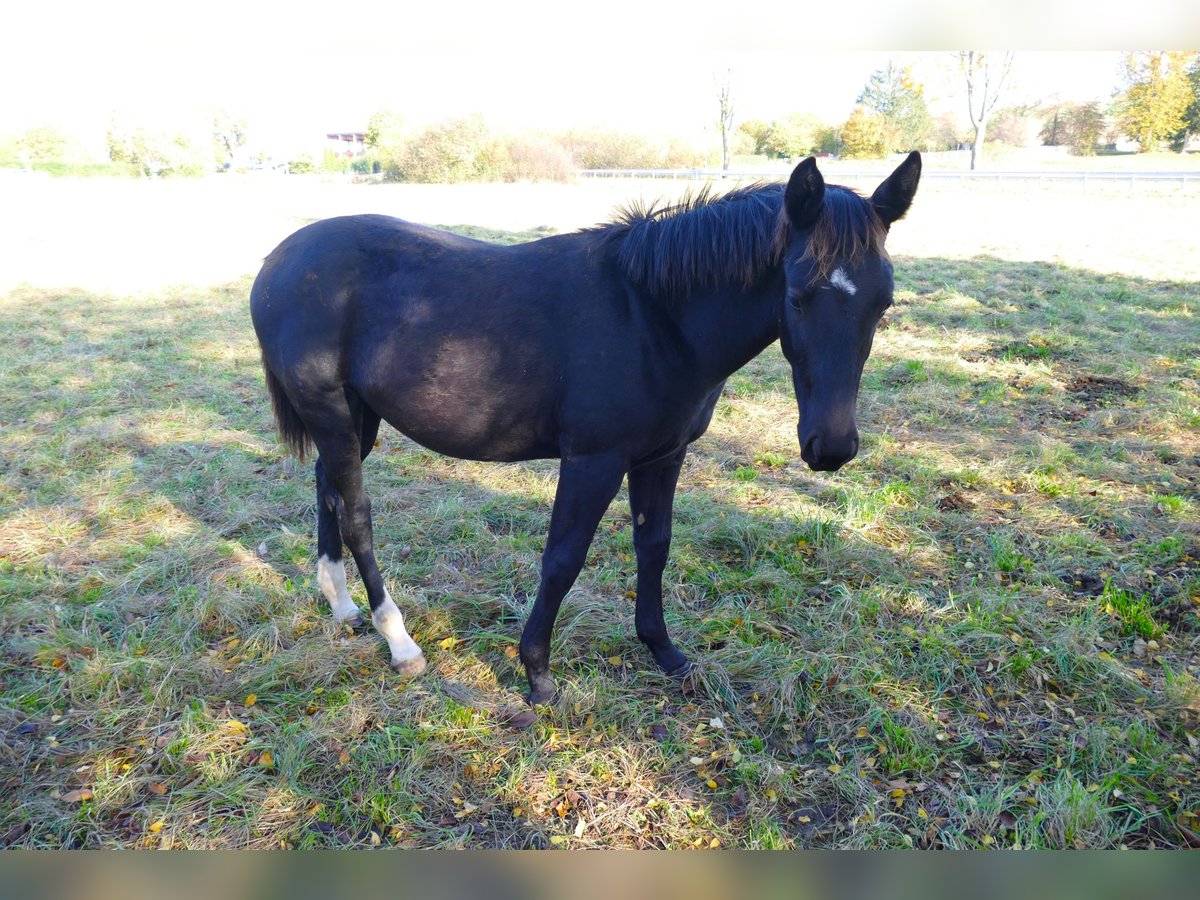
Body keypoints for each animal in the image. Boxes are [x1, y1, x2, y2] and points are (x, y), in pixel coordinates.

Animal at [253, 154, 921, 705]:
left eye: (883, 302)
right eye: (799, 295)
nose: (831, 447)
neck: (652, 315)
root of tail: (278, 260)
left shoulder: (662, 456)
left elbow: (654, 545)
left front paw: (664, 652)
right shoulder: (594, 460)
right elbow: (563, 558)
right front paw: (538, 674)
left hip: (356, 417)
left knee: (328, 487)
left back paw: (340, 603)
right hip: (332, 412)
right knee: (356, 513)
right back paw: (400, 643)